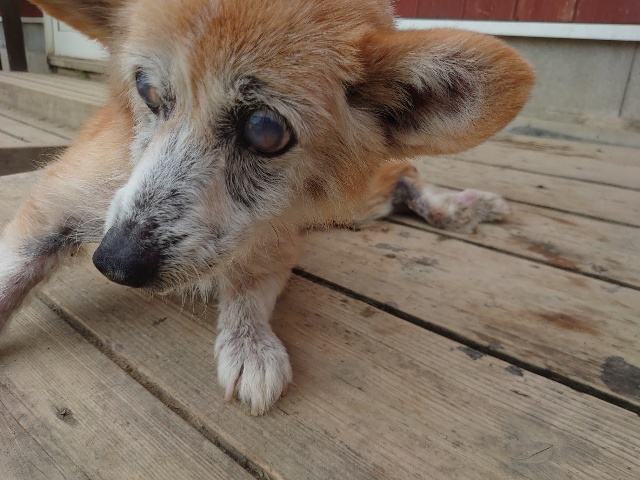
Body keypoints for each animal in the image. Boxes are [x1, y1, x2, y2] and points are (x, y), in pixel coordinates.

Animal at [0, 0, 534, 415]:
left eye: (265, 130)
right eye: (147, 90)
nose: (115, 262)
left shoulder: (275, 241)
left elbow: (249, 292)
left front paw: (251, 344)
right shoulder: (54, 206)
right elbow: (11, 274)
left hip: (347, 202)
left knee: (405, 172)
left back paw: (463, 205)